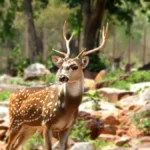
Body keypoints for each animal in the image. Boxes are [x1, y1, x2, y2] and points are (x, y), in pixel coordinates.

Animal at [6, 22, 108, 150]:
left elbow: (63, 147)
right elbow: (48, 147)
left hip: (29, 127)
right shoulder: (46, 122)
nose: (62, 77)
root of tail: (11, 95)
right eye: (62, 66)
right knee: (7, 145)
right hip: (15, 121)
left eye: (75, 66)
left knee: (15, 146)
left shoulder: (68, 126)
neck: (67, 109)